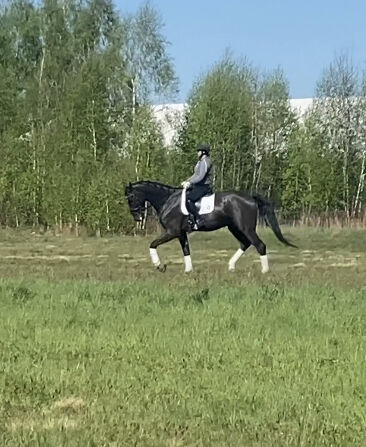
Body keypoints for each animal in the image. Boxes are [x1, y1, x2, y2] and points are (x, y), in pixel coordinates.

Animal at [124, 181, 296, 272]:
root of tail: (251, 198)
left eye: (131, 197)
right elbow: (186, 250)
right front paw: (188, 270)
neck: (168, 200)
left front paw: (158, 265)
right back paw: (231, 266)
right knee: (245, 243)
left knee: (259, 245)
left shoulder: (172, 231)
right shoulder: (181, 233)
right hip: (234, 228)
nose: (138, 217)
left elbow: (152, 244)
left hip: (246, 228)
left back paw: (264, 271)